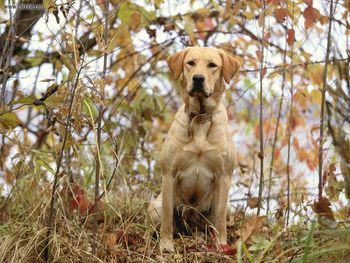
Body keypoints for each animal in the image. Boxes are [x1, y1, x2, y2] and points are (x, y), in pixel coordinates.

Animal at [148, 46, 241, 253]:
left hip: (227, 207)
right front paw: (166, 245)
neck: (200, 118)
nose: (198, 78)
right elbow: (167, 217)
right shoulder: (169, 174)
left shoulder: (223, 176)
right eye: (190, 63)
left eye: (212, 65)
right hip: (155, 206)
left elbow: (219, 219)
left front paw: (221, 245)